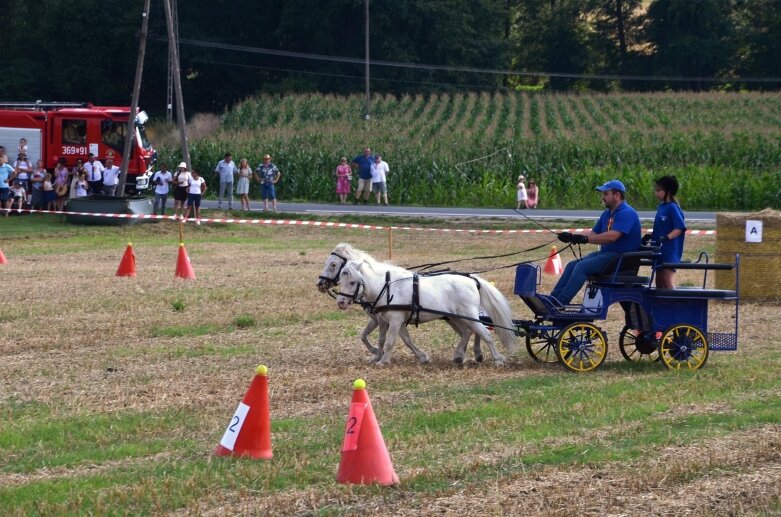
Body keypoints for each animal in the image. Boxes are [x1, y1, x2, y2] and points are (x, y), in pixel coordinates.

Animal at [336, 256, 516, 362]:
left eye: (352, 282)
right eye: (340, 280)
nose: (341, 302)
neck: (387, 287)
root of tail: (472, 279)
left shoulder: (395, 320)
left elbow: (389, 341)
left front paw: (383, 361)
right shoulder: (398, 321)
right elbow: (407, 340)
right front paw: (422, 357)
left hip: (469, 315)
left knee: (485, 334)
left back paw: (497, 358)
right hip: (456, 316)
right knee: (467, 332)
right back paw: (459, 355)